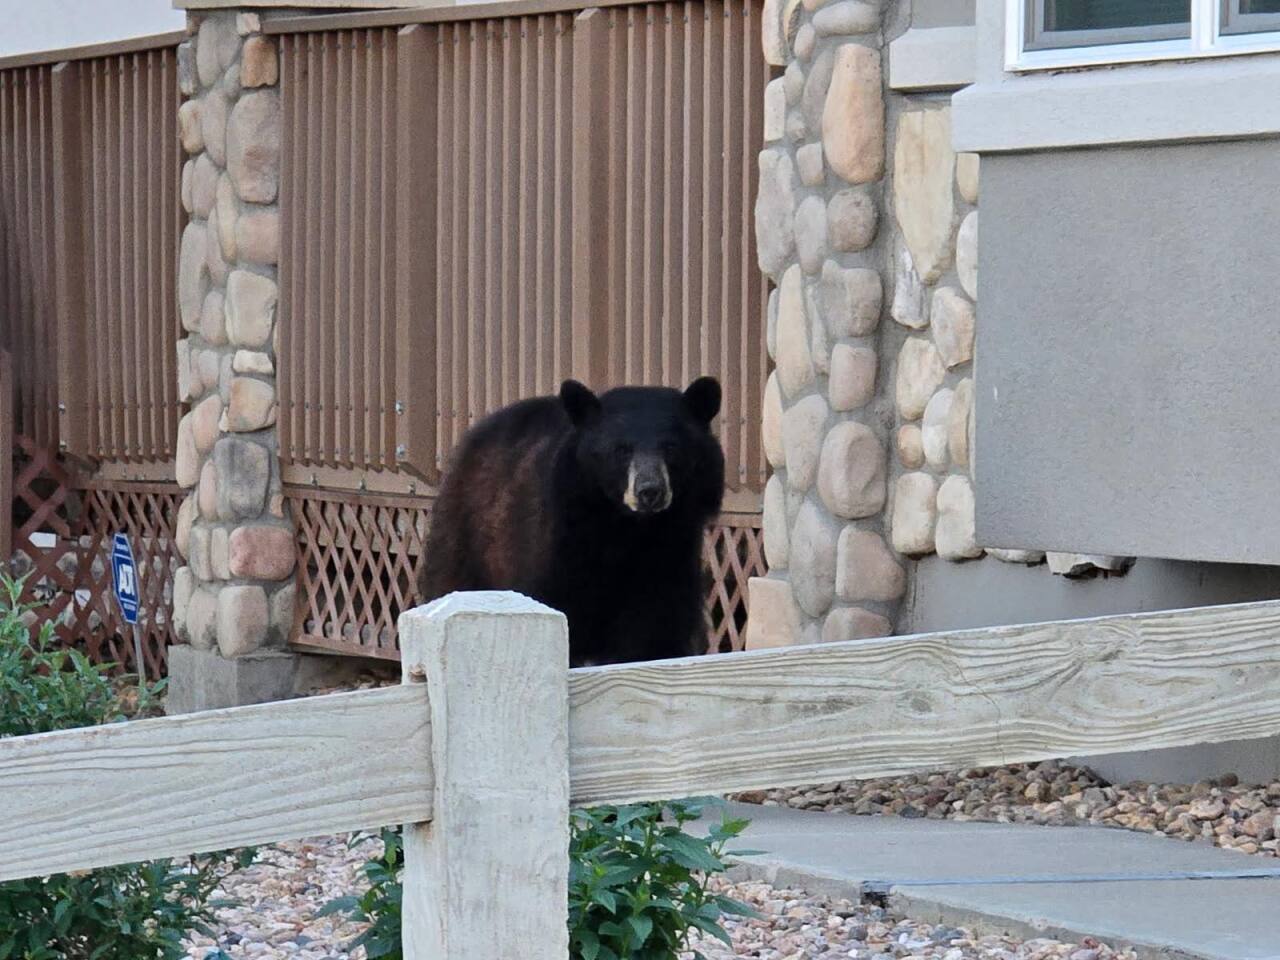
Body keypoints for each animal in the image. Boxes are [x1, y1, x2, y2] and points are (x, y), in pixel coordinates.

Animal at [416, 377, 725, 666]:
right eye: (621, 449)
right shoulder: (557, 547)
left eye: (672, 447)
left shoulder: (672, 556)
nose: (650, 491)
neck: (627, 529)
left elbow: (656, 631)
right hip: (464, 536)